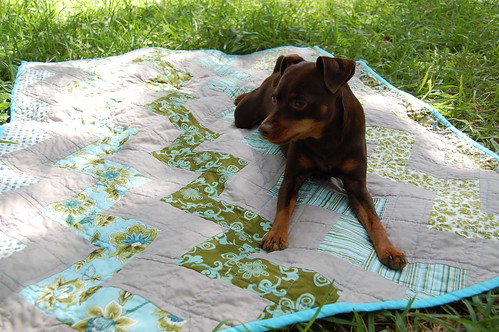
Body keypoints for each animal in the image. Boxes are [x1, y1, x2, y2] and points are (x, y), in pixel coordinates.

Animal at [234, 53, 406, 268]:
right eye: (274, 99)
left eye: (299, 103)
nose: (262, 130)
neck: (326, 138)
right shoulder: (292, 178)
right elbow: (283, 208)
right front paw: (276, 235)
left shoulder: (357, 185)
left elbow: (375, 220)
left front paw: (389, 249)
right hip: (243, 117)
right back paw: (240, 96)